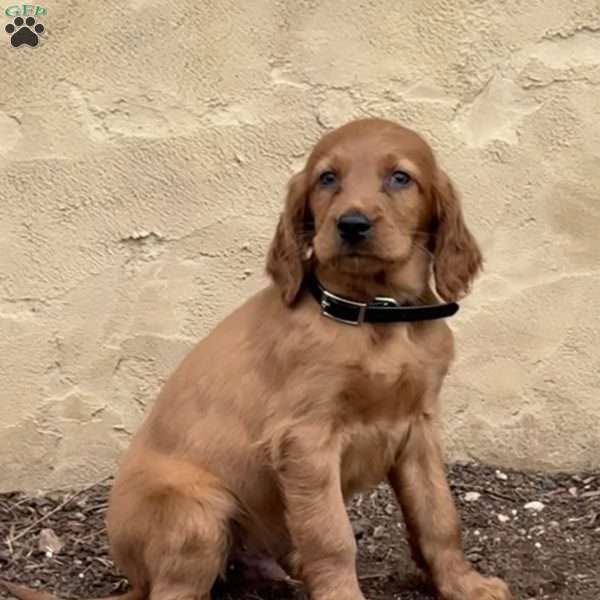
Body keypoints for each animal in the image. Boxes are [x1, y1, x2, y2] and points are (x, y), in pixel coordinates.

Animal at [2, 118, 512, 600]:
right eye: (327, 178)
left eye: (400, 177)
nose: (351, 224)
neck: (375, 314)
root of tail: (134, 576)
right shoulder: (306, 439)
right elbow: (332, 536)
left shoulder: (418, 429)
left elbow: (438, 516)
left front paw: (465, 585)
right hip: (198, 512)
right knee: (177, 589)